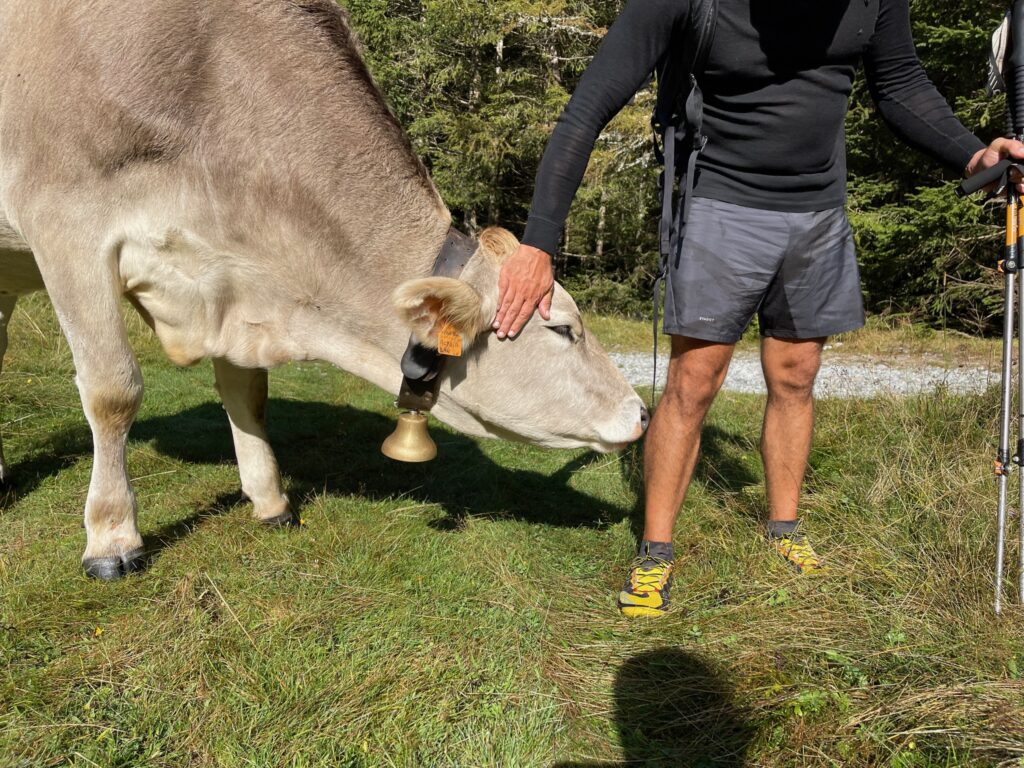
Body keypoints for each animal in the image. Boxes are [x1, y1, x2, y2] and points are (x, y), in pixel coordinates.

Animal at [0, 0, 643, 577]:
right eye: (562, 328)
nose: (639, 412)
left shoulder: (236, 279)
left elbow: (247, 392)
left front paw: (271, 501)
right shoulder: (65, 222)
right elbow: (113, 390)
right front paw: (112, 538)